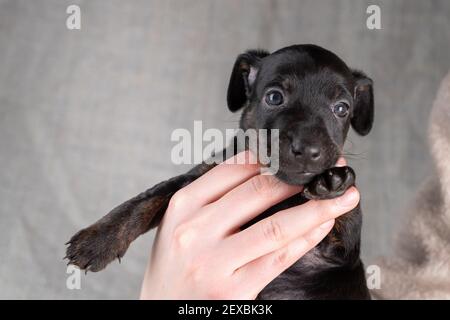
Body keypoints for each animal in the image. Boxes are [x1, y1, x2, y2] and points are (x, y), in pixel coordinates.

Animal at [66, 45, 372, 300]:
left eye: (341, 109)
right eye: (274, 97)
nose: (308, 149)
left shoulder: (343, 253)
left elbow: (348, 214)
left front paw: (334, 181)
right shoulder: (199, 177)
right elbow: (149, 197)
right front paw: (98, 240)